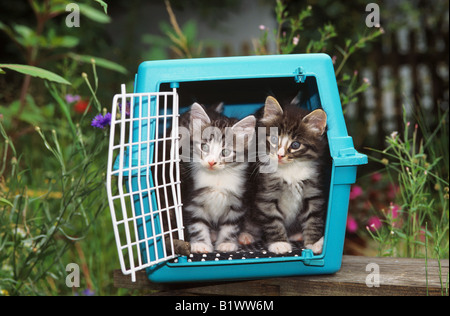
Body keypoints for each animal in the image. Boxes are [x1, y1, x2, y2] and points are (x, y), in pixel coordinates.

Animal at [180, 102, 256, 253]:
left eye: (225, 152)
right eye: (204, 147)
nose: (211, 162)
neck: (217, 180)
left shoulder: (237, 200)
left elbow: (231, 225)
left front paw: (227, 243)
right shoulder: (193, 198)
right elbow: (197, 223)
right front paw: (200, 244)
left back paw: (245, 235)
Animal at [239, 95, 326, 254]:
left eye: (295, 145)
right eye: (274, 139)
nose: (279, 155)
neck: (290, 169)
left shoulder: (313, 192)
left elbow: (314, 217)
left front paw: (315, 242)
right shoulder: (266, 194)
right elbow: (272, 220)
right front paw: (279, 243)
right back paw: (246, 235)